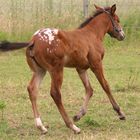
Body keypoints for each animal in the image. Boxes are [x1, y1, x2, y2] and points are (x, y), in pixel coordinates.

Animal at [0, 4, 124, 133]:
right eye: (117, 20)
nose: (122, 35)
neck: (92, 34)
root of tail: (33, 41)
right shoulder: (96, 64)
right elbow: (105, 85)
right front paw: (120, 112)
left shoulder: (81, 68)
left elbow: (89, 89)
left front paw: (79, 115)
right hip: (56, 69)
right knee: (55, 93)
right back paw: (72, 126)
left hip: (40, 70)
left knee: (32, 89)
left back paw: (41, 126)